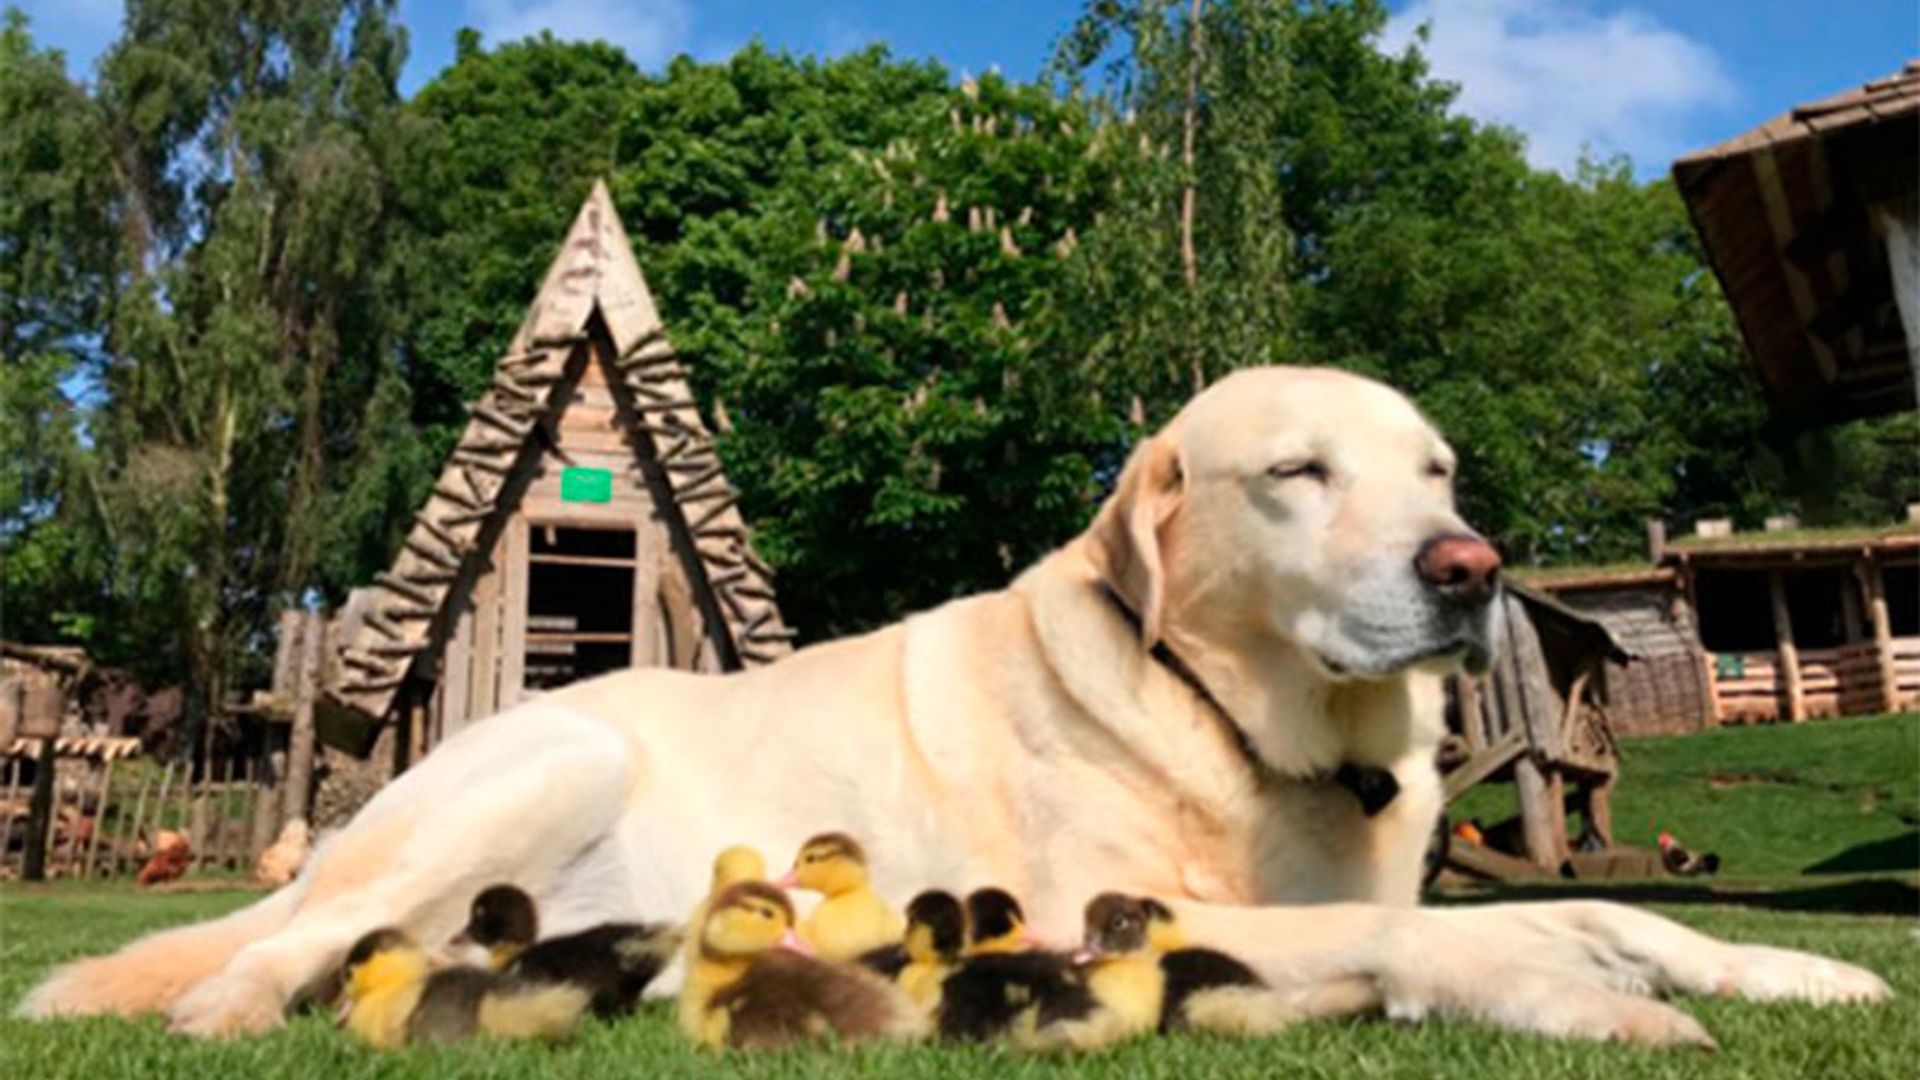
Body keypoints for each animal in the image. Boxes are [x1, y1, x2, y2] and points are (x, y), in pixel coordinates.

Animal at [22, 365, 1881, 1037]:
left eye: (1435, 470)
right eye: (1298, 474)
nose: (1469, 565)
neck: (1250, 733)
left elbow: (1618, 912)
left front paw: (1781, 968)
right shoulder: (1103, 907)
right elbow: (1441, 933)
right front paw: (1566, 992)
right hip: (545, 754)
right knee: (276, 959)